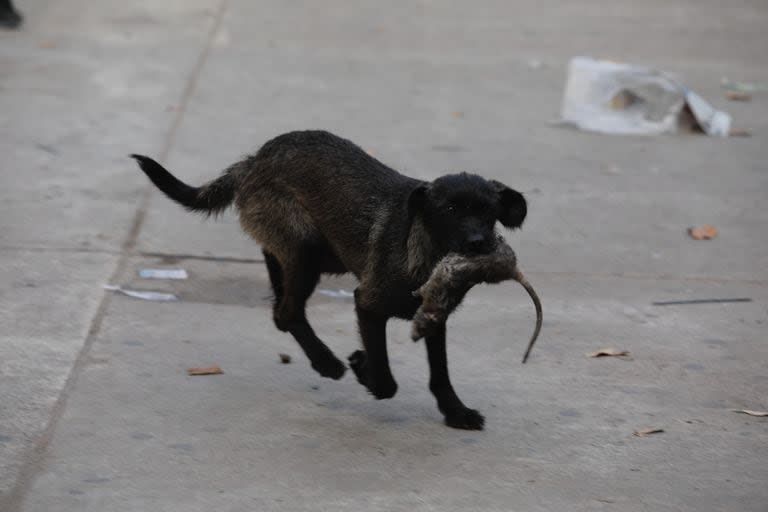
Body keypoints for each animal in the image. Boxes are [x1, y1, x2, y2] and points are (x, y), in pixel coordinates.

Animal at [134, 129, 528, 428]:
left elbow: (440, 373)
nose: (478, 243)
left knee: (279, 297)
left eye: (489, 212)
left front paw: (455, 411)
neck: (427, 254)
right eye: (449, 210)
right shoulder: (367, 305)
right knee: (287, 313)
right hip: (307, 251)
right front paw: (365, 370)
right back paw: (327, 362)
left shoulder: (434, 318)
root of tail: (255, 159)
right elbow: (385, 378)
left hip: (319, 254)